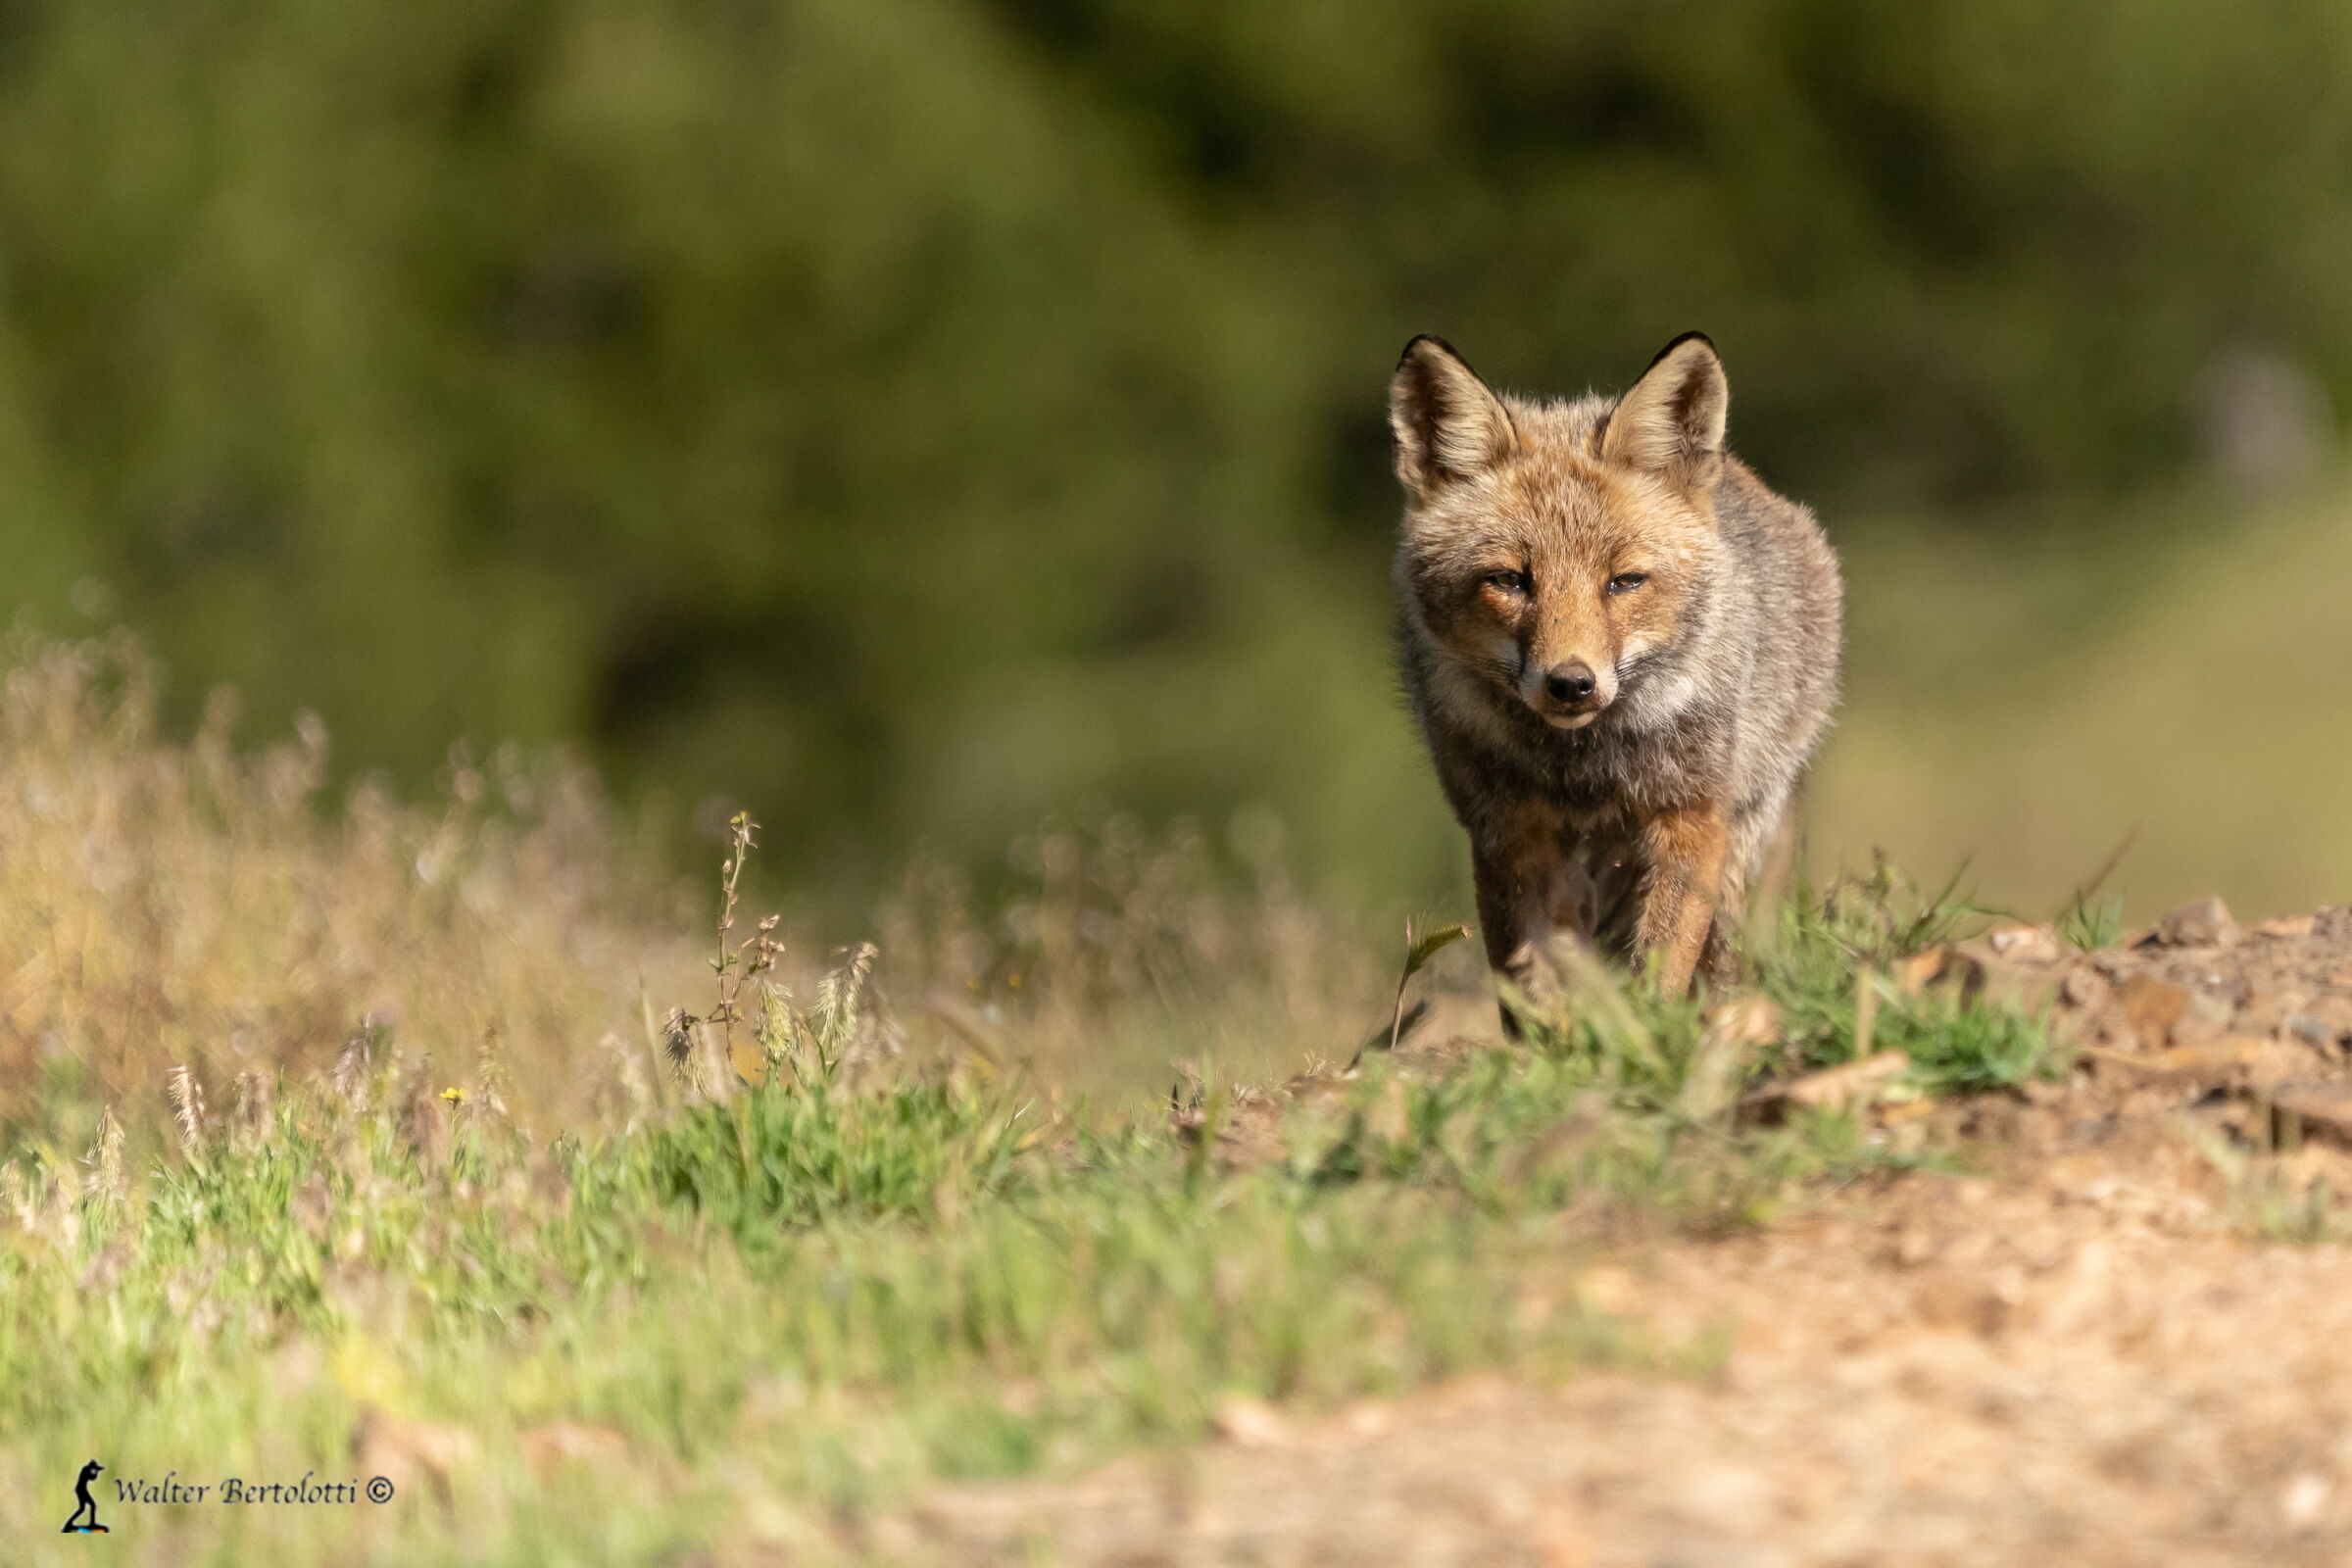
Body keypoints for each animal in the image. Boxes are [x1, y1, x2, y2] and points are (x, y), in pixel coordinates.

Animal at [1388, 331, 1842, 1004]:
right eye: (1510, 581)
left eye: (1624, 582)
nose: (1571, 684)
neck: (1583, 769)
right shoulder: (1505, 833)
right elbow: (1528, 991)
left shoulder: (1691, 817)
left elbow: (1659, 971)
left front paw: (1650, 1028)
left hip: (1742, 848)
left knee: (1727, 962)